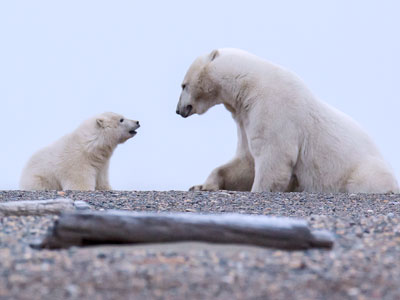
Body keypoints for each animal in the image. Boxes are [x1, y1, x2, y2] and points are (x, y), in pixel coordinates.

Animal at [177, 47, 398, 192]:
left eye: (183, 85)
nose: (178, 110)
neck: (248, 85)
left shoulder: (273, 108)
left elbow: (273, 156)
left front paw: (258, 189)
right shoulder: (244, 118)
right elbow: (245, 160)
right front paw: (202, 185)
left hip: (362, 169)